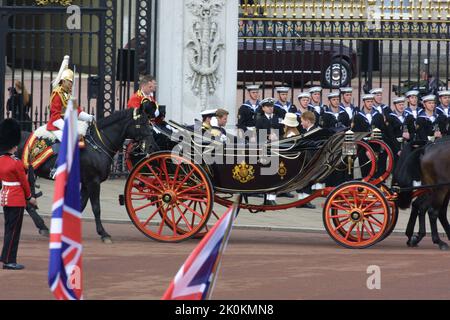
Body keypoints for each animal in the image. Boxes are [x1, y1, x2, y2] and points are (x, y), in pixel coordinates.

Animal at [17, 105, 158, 242]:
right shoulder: (93, 181)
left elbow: (81, 205)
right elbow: (96, 207)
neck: (98, 144)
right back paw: (42, 226)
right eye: (142, 123)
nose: (152, 146)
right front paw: (103, 233)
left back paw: (42, 226)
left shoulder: (86, 183)